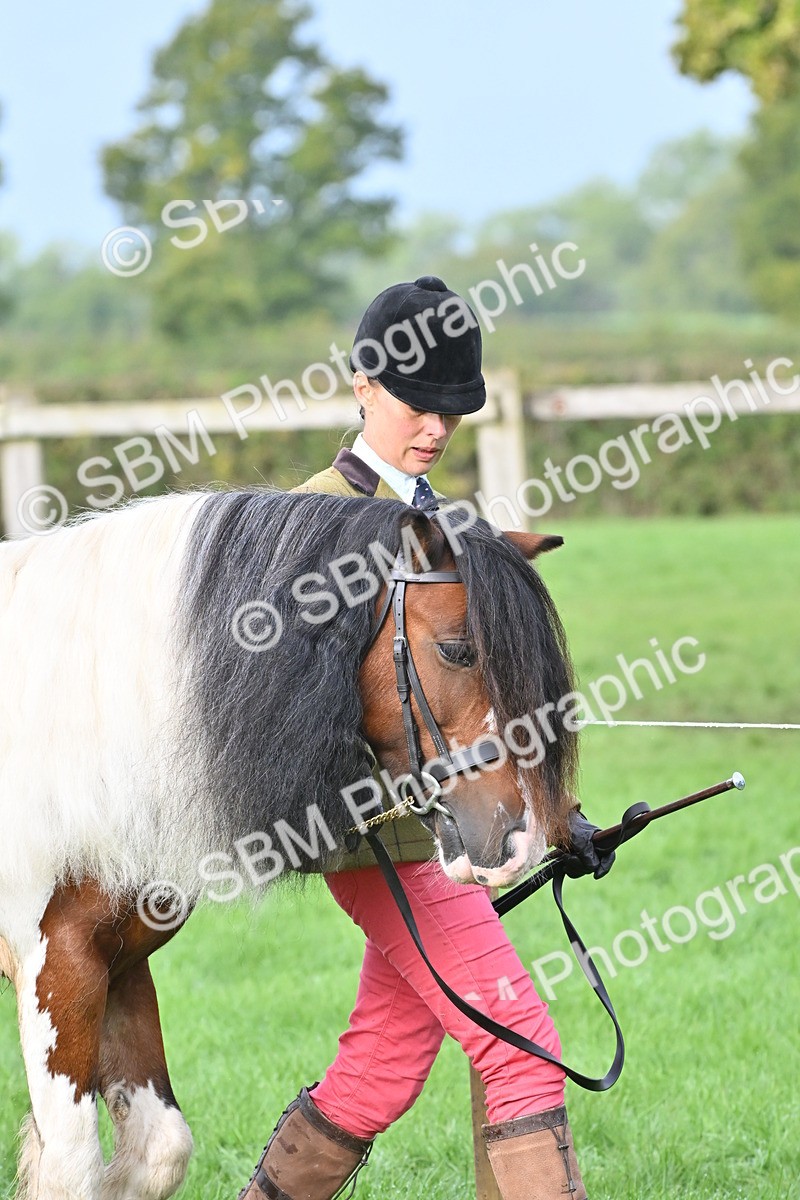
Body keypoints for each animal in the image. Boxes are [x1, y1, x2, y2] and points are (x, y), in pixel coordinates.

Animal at [0, 488, 577, 1200]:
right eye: (457, 650)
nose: (519, 838)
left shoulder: (115, 961)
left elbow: (158, 1149)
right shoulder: (55, 965)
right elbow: (73, 1167)